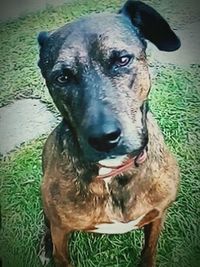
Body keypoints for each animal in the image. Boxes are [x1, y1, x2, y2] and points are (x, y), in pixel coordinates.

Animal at [37, 0, 180, 267]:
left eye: (122, 59)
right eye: (62, 77)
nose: (104, 138)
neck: (113, 172)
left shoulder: (157, 216)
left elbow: (149, 251)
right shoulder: (61, 232)